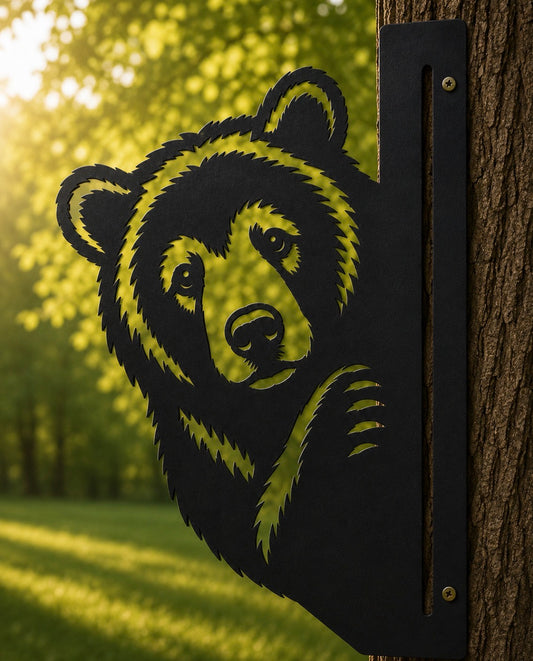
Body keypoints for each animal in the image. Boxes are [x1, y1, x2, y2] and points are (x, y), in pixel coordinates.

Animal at [57, 68, 386, 650]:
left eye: (275, 238)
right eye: (186, 276)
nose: (254, 332)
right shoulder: (204, 445)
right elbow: (287, 541)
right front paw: (349, 411)